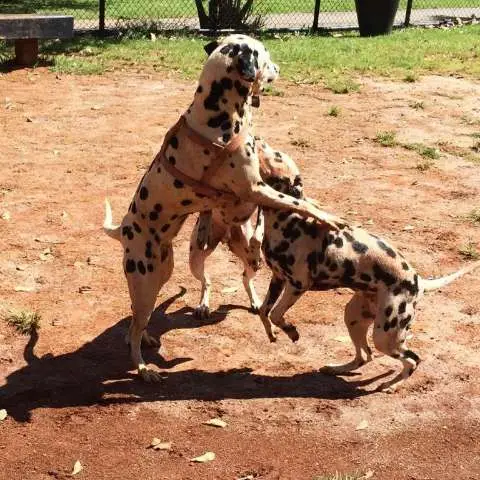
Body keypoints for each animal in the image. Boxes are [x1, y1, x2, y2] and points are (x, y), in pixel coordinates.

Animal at [103, 34, 342, 382]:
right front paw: (329, 217)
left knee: (140, 317)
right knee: (140, 323)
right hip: (150, 279)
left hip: (164, 273)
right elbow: (297, 201)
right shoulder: (255, 187)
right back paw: (144, 368)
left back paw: (149, 337)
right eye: (265, 56)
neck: (214, 117)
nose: (279, 68)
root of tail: (123, 230)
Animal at [251, 159, 480, 392]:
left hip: (385, 336)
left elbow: (276, 314)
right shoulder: (278, 279)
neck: (287, 220)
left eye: (274, 160)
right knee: (365, 356)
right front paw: (274, 333)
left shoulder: (297, 285)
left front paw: (291, 331)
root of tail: (419, 283)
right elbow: (264, 311)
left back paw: (390, 385)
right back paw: (337, 368)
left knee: (412, 359)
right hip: (354, 318)